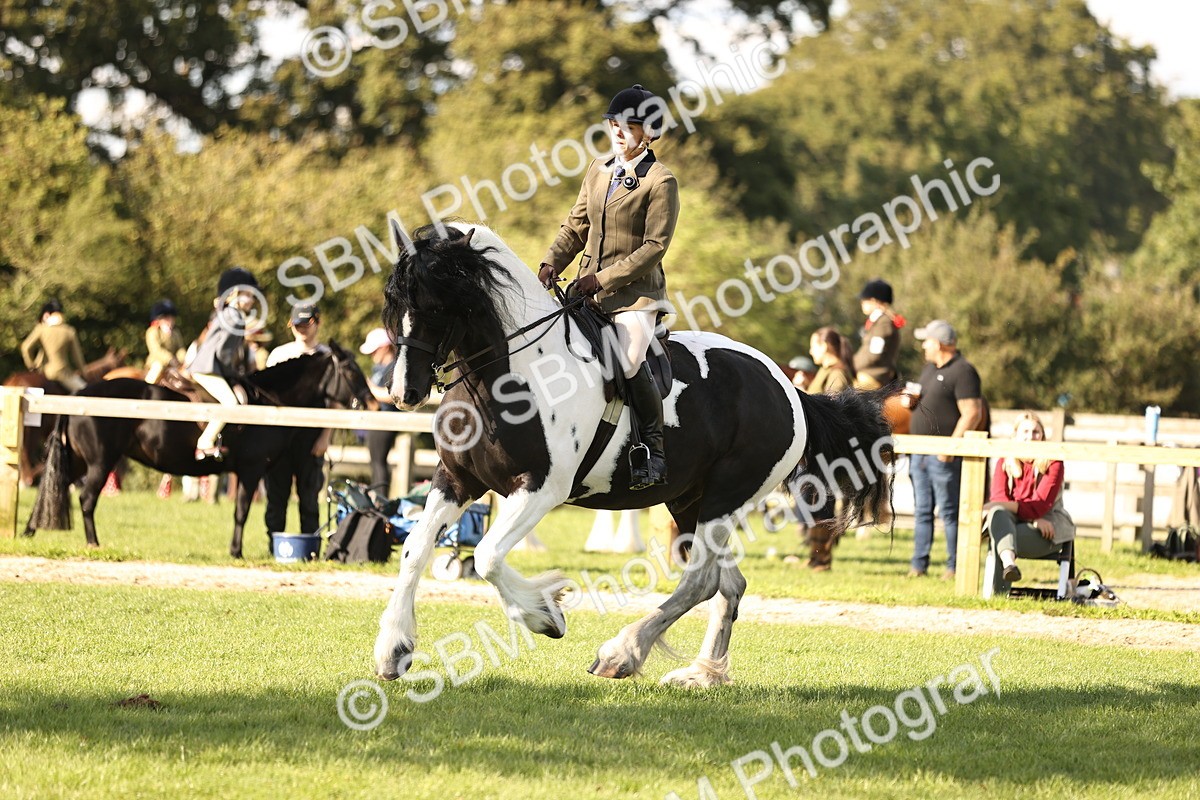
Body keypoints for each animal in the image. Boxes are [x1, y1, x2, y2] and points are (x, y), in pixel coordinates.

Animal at [25, 343, 375, 558]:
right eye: (351, 371)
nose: (372, 403)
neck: (268, 402)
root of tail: (80, 394)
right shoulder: (250, 470)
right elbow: (241, 512)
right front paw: (236, 551)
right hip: (100, 463)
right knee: (86, 499)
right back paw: (93, 544)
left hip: (79, 461)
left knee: (51, 486)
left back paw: (28, 532)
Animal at [372, 221, 896, 688]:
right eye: (392, 303)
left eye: (436, 305)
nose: (404, 392)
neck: (511, 374)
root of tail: (788, 387)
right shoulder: (456, 480)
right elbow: (416, 550)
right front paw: (394, 649)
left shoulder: (541, 488)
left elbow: (485, 557)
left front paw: (545, 614)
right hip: (691, 502)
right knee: (728, 585)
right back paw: (700, 674)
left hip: (725, 498)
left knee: (700, 581)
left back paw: (621, 653)